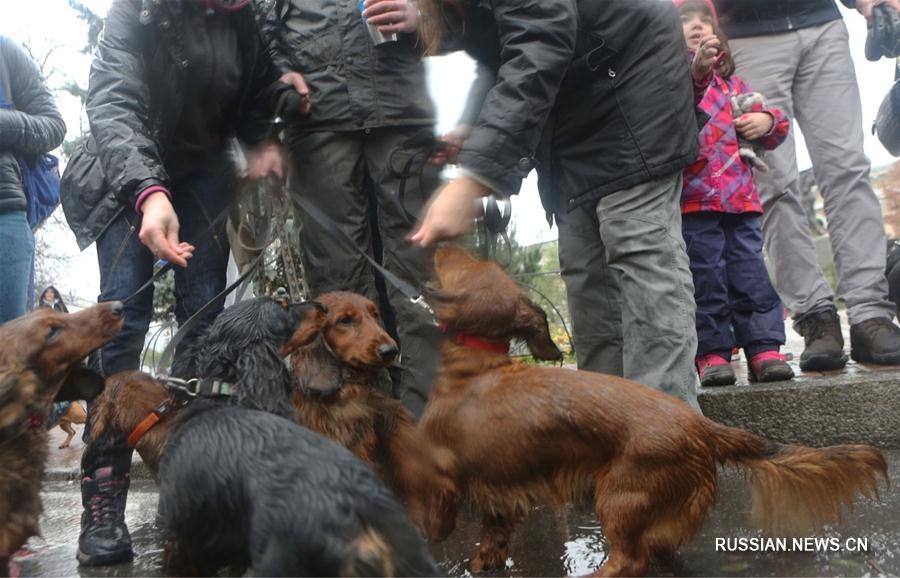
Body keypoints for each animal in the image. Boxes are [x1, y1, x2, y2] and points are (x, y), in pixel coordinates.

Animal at [420, 244, 884, 576]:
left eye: (462, 261)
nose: (440, 241)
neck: (477, 365)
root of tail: (703, 427)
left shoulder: (444, 475)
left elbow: (436, 514)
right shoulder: (501, 493)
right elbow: (492, 538)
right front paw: (481, 563)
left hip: (619, 497)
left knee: (629, 561)